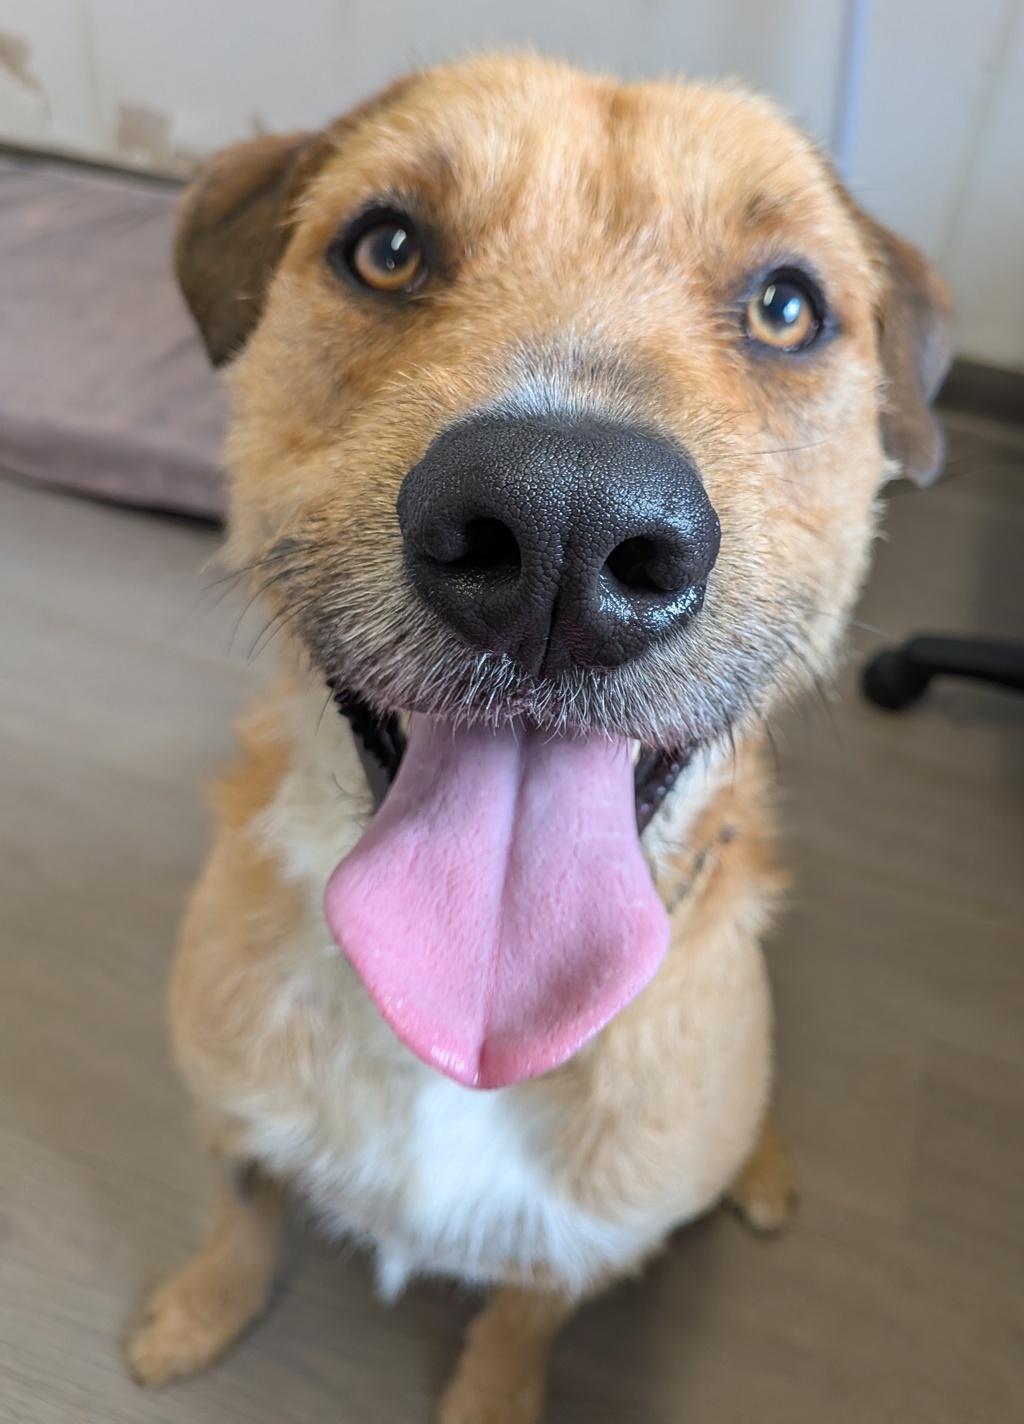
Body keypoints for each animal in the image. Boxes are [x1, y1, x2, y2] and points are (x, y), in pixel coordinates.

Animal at [126, 53, 950, 1423]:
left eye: (786, 307)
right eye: (387, 247)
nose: (563, 530)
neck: (463, 1040)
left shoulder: (588, 1241)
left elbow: (524, 1313)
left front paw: (493, 1394)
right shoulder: (227, 1103)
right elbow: (241, 1211)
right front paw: (198, 1313)